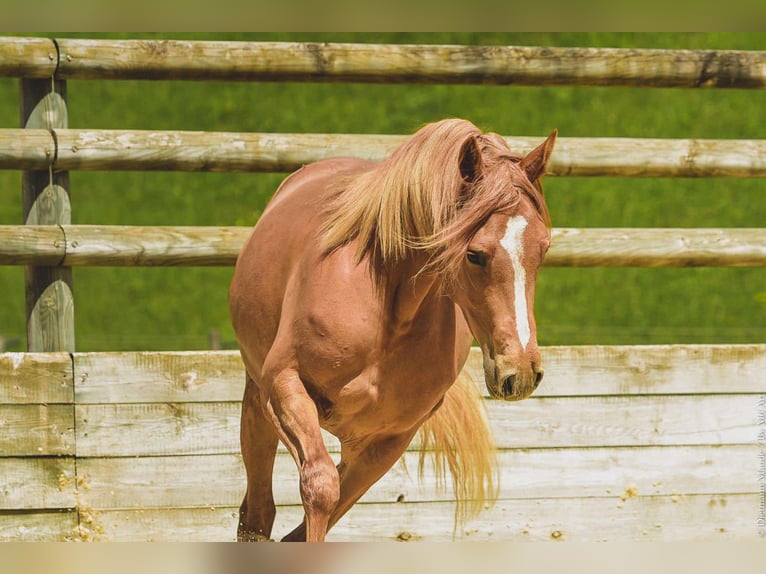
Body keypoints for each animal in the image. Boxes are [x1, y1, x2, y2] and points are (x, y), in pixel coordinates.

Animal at [230, 119, 560, 544]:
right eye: (474, 254)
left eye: (543, 249)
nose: (519, 372)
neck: (388, 310)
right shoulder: (284, 386)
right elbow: (320, 487)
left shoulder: (390, 438)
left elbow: (332, 505)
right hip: (258, 399)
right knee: (257, 510)